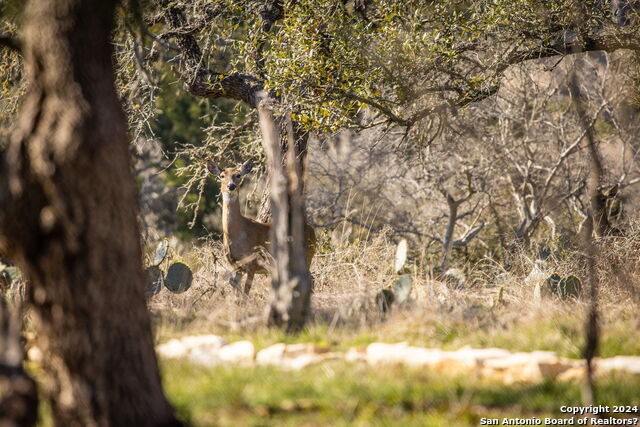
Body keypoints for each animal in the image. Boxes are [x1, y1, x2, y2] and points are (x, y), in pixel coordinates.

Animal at [206, 159, 316, 296]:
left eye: (238, 175)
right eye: (221, 176)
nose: (231, 186)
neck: (236, 234)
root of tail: (313, 231)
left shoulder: (253, 261)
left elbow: (246, 292)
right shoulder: (236, 266)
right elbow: (236, 288)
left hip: (307, 254)